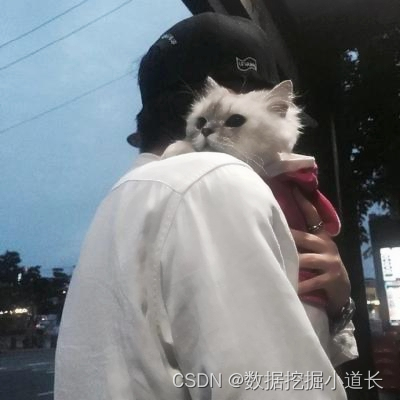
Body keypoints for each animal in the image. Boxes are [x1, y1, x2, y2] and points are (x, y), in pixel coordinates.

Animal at [162, 77, 342, 356]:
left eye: (235, 121)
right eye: (201, 122)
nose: (206, 131)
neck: (265, 170)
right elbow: (185, 146)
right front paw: (176, 149)